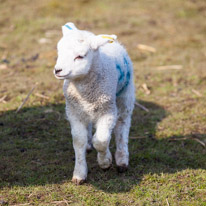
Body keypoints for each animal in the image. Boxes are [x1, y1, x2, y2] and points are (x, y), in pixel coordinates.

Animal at [54, 22, 136, 185]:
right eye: (59, 52)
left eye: (80, 56)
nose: (57, 70)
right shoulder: (74, 112)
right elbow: (78, 141)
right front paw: (79, 174)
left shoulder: (108, 111)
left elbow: (101, 140)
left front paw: (105, 162)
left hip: (125, 97)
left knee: (122, 125)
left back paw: (122, 159)